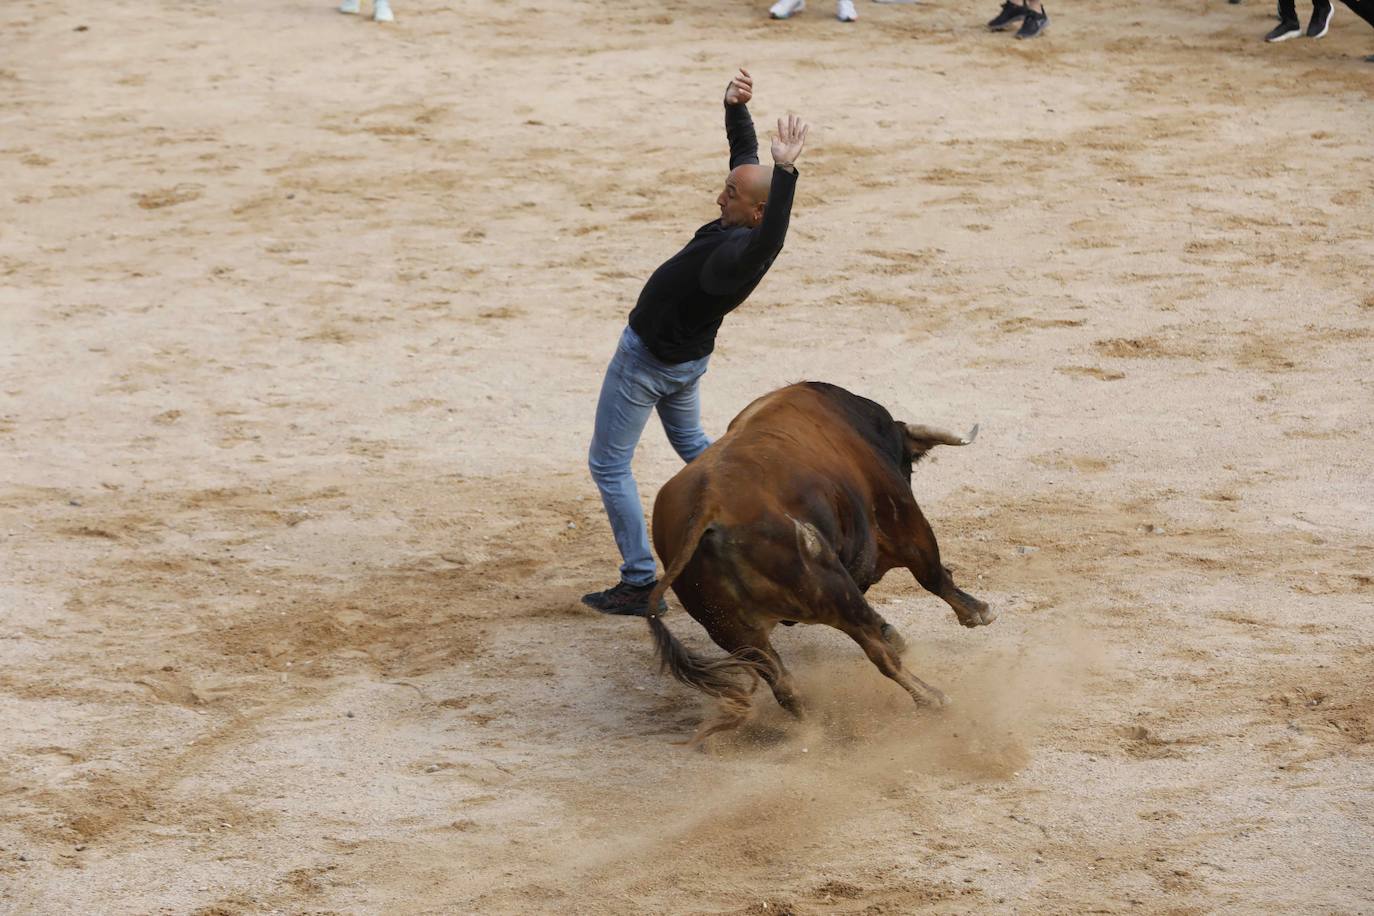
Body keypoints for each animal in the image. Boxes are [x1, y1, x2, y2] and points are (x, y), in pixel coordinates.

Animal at [637, 381, 994, 747]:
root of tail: (708, 505)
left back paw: (812, 730)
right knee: (878, 651)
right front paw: (978, 611)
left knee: (785, 686)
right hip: (837, 592)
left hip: (734, 633)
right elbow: (933, 575)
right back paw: (931, 697)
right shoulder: (906, 526)